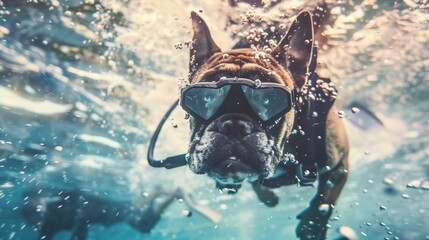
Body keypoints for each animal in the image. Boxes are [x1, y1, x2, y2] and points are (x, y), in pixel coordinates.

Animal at [182, 10, 350, 239]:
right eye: (204, 99)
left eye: (270, 100)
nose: (234, 125)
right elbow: (256, 183)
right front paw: (267, 196)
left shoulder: (340, 163)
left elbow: (325, 199)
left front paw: (312, 226)